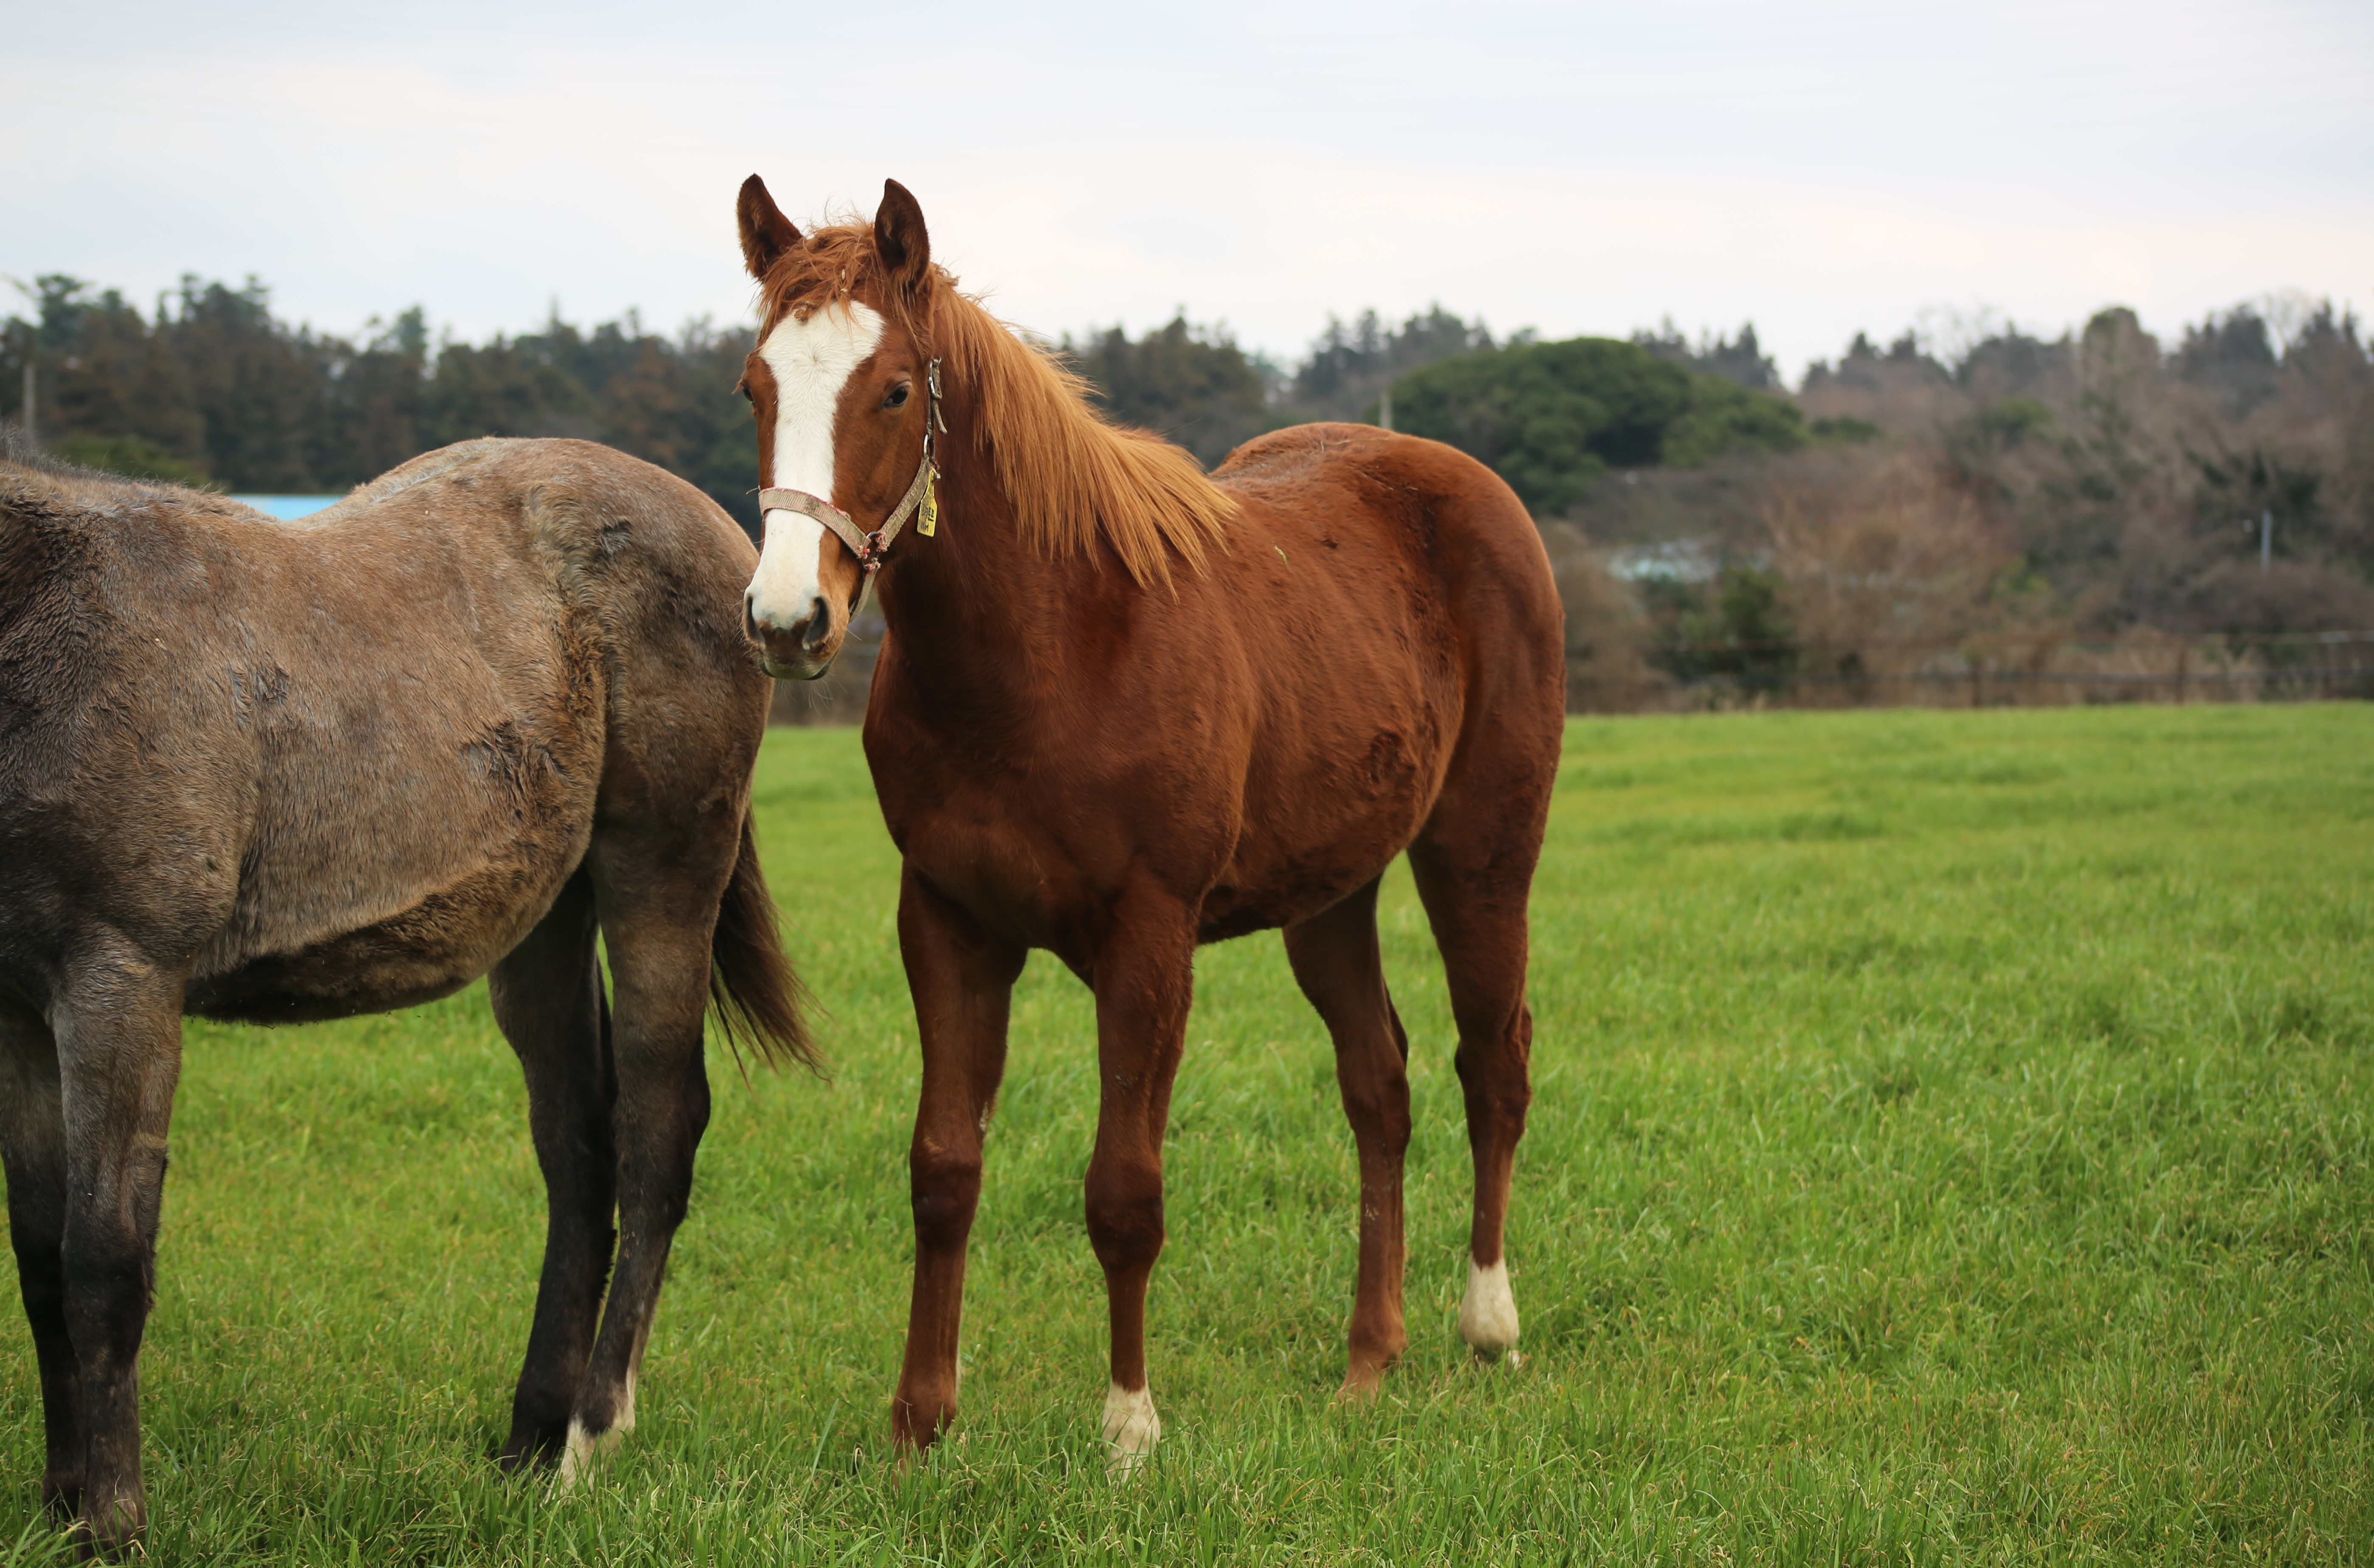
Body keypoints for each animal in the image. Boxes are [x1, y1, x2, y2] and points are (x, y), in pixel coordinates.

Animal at [0, 434, 817, 1546]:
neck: (48, 609)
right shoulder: (19, 1008)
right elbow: (40, 1258)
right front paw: (57, 1510)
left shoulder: (119, 980)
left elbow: (103, 1261)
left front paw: (113, 1526)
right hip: (545, 924)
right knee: (577, 1151)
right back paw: (526, 1443)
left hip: (663, 869)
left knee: (656, 1130)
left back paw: (587, 1439)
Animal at [731, 178, 1567, 1461]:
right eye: (754, 388)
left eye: (892, 390)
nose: (787, 620)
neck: (1053, 646)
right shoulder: (947, 925)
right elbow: (942, 1167)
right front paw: (921, 1422)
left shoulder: (1147, 938)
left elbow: (1124, 1189)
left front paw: (1129, 1424)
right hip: (1330, 893)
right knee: (1378, 1084)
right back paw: (1366, 1359)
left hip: (1480, 853)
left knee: (1492, 1060)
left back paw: (1486, 1324)